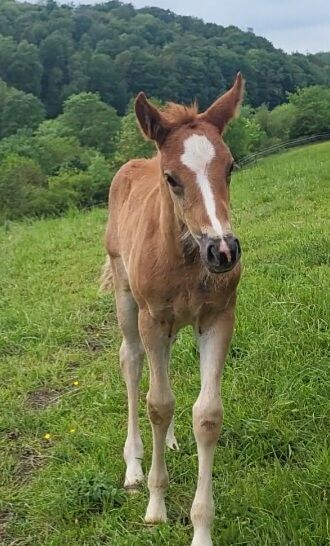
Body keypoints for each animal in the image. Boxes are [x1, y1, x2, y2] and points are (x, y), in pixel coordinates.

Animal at [103, 73, 245, 544]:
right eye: (171, 177)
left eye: (230, 167)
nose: (223, 250)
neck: (185, 256)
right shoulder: (153, 317)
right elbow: (158, 405)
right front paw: (156, 504)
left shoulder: (218, 317)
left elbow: (207, 414)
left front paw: (201, 528)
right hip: (127, 298)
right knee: (132, 363)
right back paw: (133, 467)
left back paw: (167, 442)